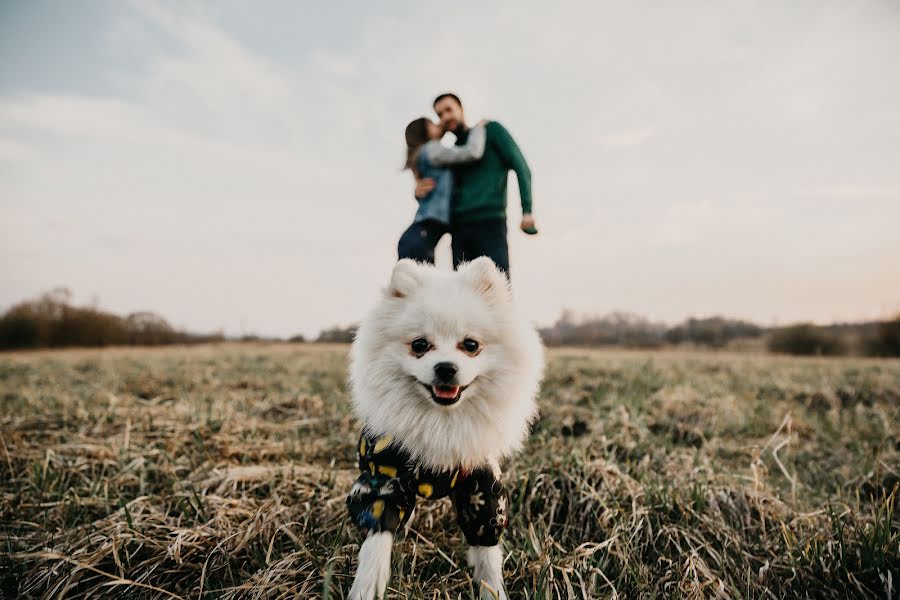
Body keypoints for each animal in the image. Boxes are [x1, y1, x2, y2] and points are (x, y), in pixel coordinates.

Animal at [344, 258, 540, 600]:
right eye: (420, 345)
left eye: (470, 345)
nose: (446, 368)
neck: (442, 422)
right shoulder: (382, 477)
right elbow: (377, 534)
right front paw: (367, 584)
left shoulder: (481, 487)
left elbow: (487, 550)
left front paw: (492, 589)